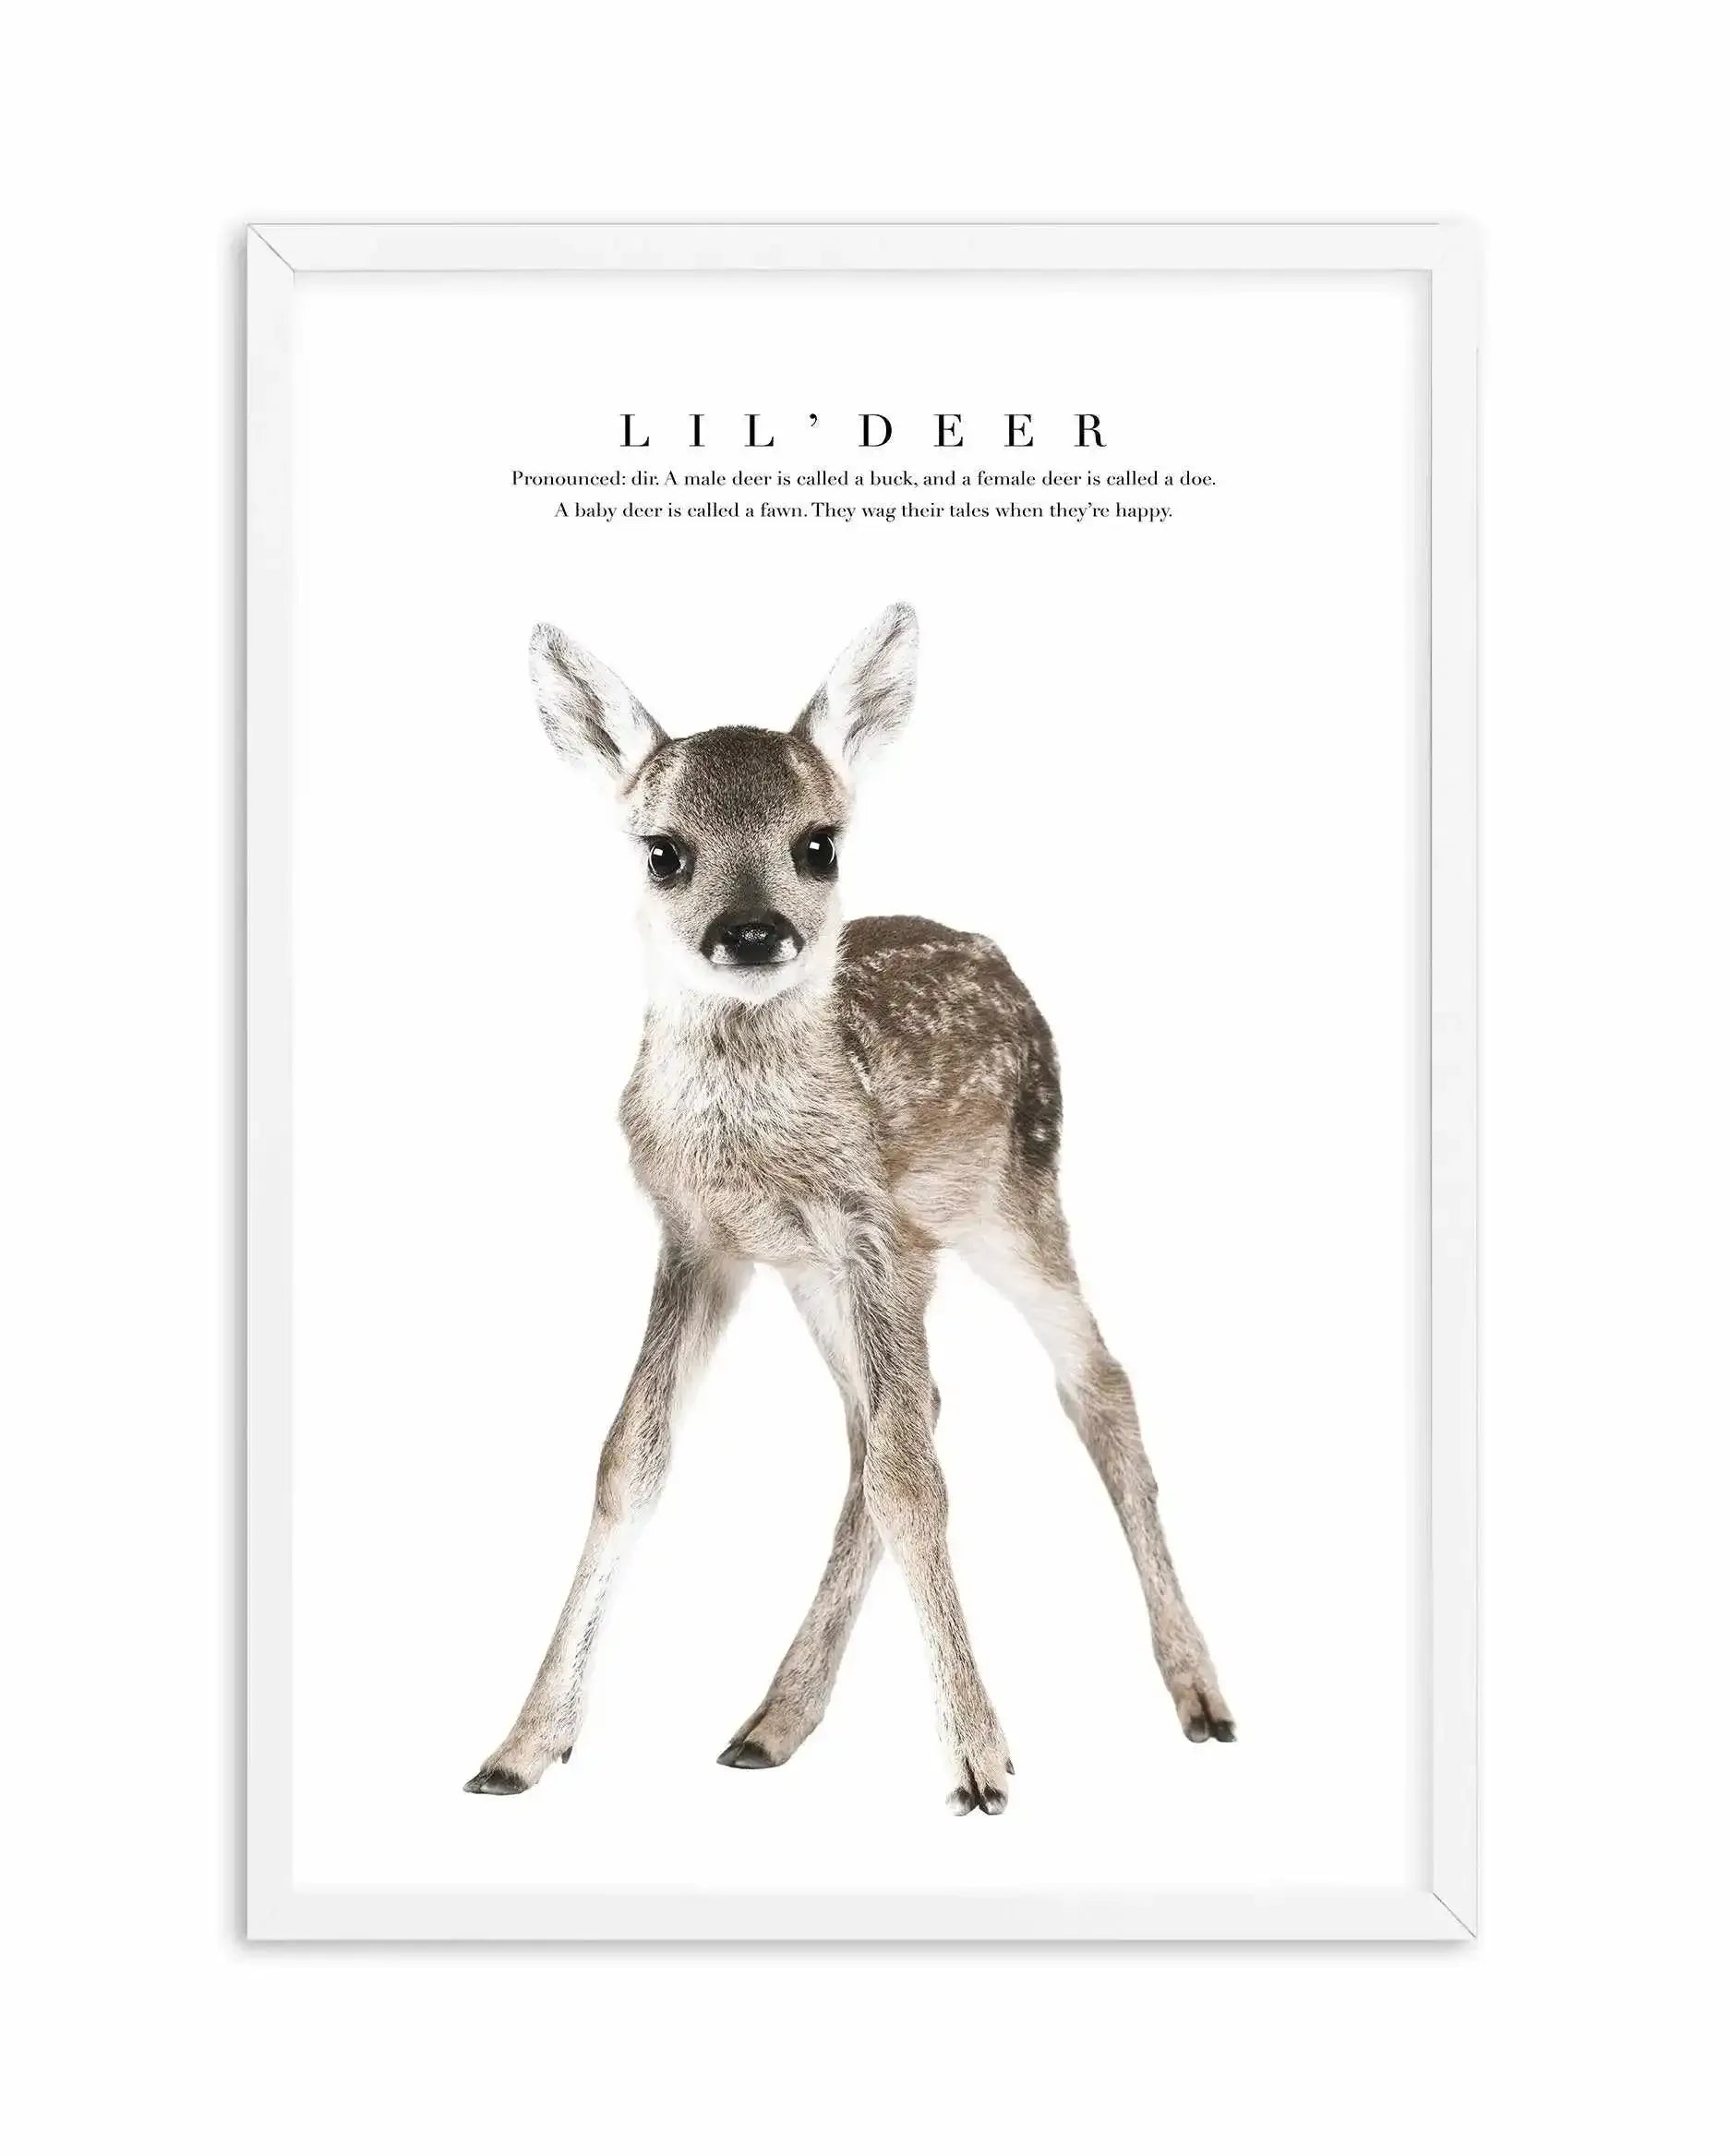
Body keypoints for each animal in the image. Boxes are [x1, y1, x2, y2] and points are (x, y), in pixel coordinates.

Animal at [465, 603, 1232, 1816]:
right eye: (662, 850)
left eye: (817, 843)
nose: (751, 932)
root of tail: (993, 950)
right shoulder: (701, 1237)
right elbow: (631, 1456)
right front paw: (523, 1744)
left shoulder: (861, 1218)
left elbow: (909, 1476)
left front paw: (977, 1762)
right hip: (851, 1271)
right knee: (894, 1417)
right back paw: (772, 1720)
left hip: (1013, 1198)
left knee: (1091, 1384)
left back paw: (1197, 1692)